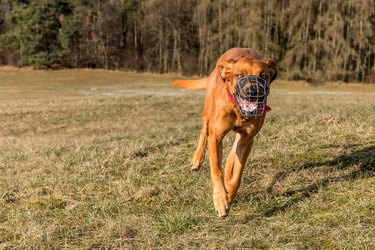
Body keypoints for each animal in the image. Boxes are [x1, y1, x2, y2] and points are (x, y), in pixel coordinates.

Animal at [172, 47, 278, 217]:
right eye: (239, 75)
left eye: (263, 75)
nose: (252, 92)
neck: (237, 109)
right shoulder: (216, 138)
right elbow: (216, 170)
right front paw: (220, 199)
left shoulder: (247, 140)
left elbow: (237, 174)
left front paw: (229, 193)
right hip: (208, 109)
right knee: (204, 130)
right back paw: (197, 158)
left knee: (232, 155)